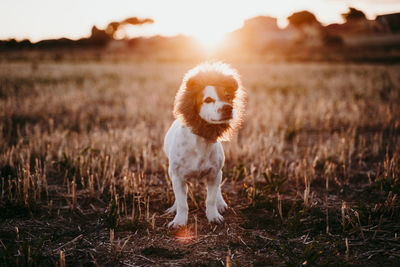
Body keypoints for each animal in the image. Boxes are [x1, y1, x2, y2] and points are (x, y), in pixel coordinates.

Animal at [163, 62, 245, 228]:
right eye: (207, 100)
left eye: (228, 97)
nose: (228, 107)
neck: (201, 141)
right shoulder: (177, 177)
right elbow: (182, 203)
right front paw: (179, 220)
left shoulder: (214, 174)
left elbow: (211, 199)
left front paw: (213, 215)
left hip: (218, 173)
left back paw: (221, 203)